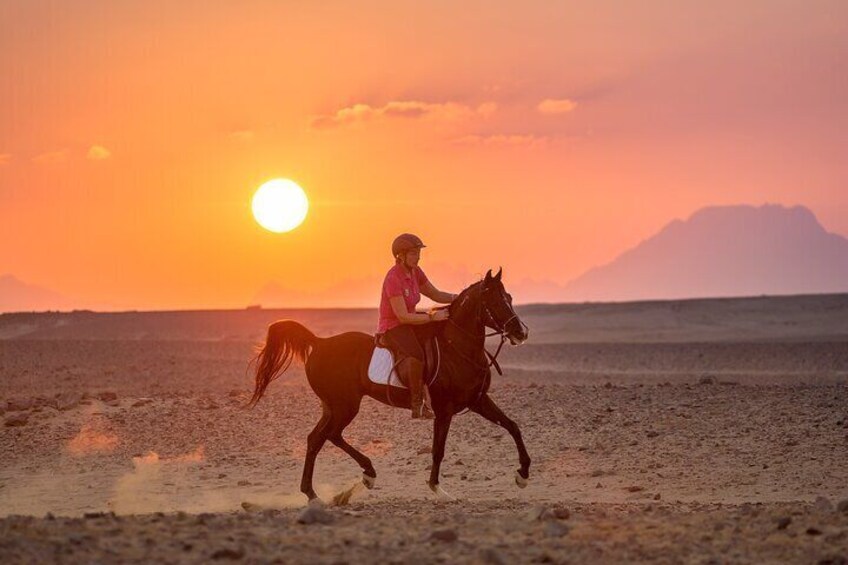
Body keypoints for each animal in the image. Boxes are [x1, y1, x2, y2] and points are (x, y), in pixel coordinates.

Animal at [245, 266, 532, 500]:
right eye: (494, 300)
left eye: (510, 298)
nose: (521, 333)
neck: (458, 347)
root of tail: (320, 342)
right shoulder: (444, 410)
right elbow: (438, 449)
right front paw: (438, 489)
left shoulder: (477, 400)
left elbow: (513, 426)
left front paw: (523, 474)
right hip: (345, 406)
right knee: (329, 436)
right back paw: (363, 475)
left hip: (332, 407)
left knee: (316, 438)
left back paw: (316, 491)